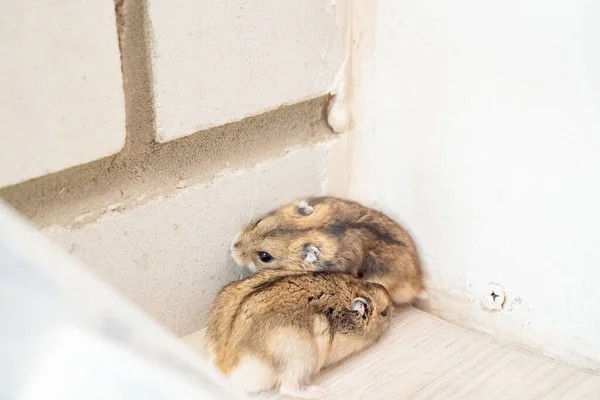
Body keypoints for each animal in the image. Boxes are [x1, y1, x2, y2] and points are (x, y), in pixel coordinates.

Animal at [206, 268, 394, 396]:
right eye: (385, 312)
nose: (393, 311)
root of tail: (226, 368)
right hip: (299, 358)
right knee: (287, 388)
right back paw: (318, 392)